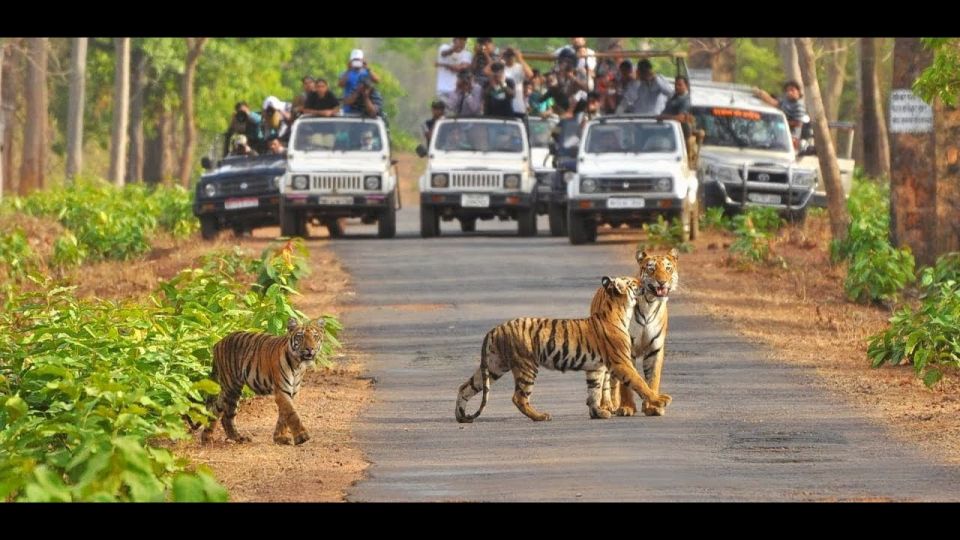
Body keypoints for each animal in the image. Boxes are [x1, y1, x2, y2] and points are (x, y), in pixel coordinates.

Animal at [199, 318, 326, 446]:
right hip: (232, 387)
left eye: (315, 336)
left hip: (227, 389)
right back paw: (237, 438)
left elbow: (283, 415)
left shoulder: (292, 392)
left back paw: (207, 437)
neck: (298, 365)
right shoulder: (282, 391)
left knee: (215, 409)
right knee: (227, 416)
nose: (310, 349)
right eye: (300, 337)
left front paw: (280, 438)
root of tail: (218, 343)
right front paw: (302, 437)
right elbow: (292, 414)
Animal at [458, 276, 676, 424]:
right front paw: (660, 400)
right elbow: (640, 383)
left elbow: (594, 391)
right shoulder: (621, 362)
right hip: (526, 365)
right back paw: (541, 416)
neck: (619, 310)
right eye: (632, 282)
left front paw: (597, 413)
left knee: (465, 387)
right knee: (519, 397)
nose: (643, 281)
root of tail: (495, 329)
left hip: (494, 365)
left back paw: (460, 416)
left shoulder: (595, 368)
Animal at [596, 248, 680, 418]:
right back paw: (607, 406)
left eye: (668, 268)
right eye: (651, 269)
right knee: (606, 380)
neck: (650, 303)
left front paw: (653, 407)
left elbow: (652, 379)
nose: (662, 282)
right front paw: (627, 407)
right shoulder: (625, 349)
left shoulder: (655, 348)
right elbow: (627, 383)